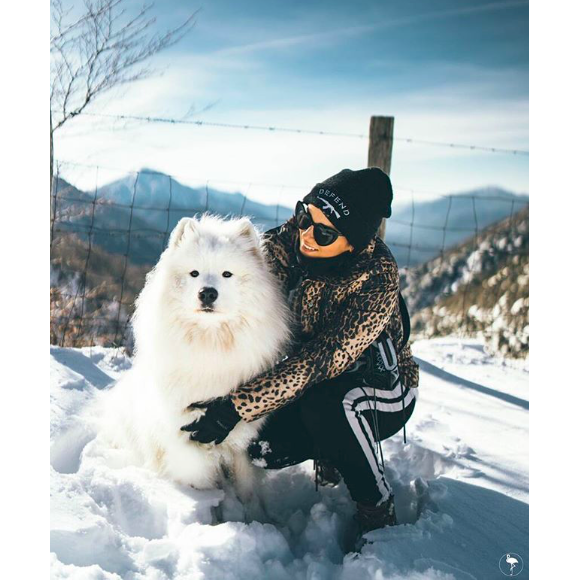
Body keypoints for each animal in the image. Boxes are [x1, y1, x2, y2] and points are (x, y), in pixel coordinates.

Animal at [98, 214, 294, 502]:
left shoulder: (240, 443)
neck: (209, 345)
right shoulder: (187, 442)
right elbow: (202, 486)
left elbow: (247, 492)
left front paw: (251, 513)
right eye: (194, 273)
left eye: (227, 274)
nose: (207, 293)